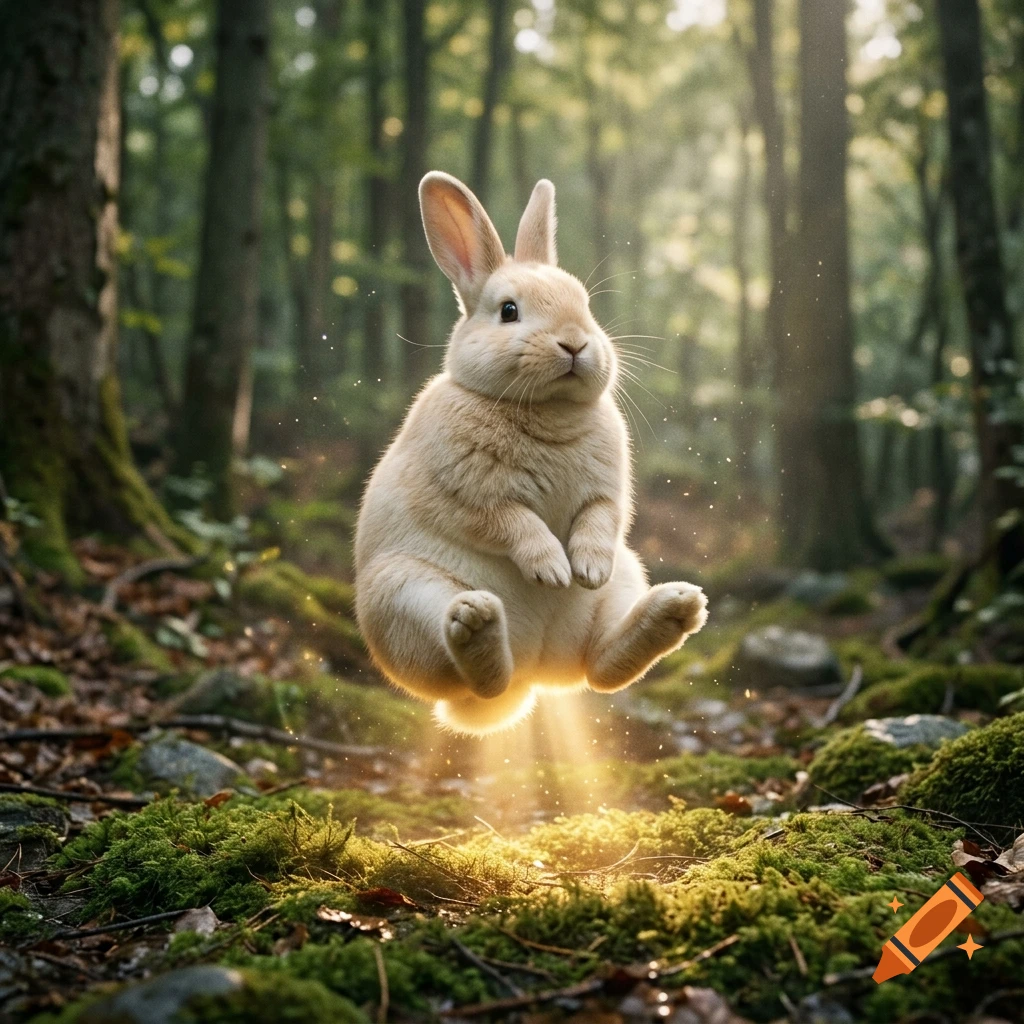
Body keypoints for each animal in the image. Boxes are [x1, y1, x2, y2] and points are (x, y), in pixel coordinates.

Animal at [354, 171, 708, 735]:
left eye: (585, 304)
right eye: (509, 311)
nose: (575, 343)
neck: (546, 411)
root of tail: (534, 675)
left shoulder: (606, 498)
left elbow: (598, 521)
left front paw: (585, 571)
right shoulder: (473, 496)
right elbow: (515, 525)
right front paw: (553, 572)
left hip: (626, 576)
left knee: (601, 668)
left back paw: (676, 608)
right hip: (400, 596)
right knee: (478, 675)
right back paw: (477, 622)